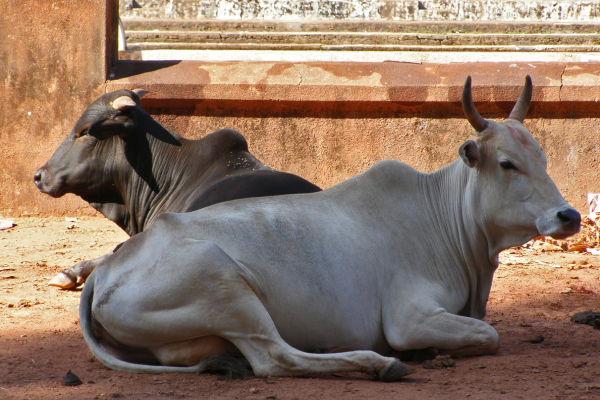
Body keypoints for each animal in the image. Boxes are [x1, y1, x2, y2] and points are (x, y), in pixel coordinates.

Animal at [79, 76, 580, 381]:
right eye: (507, 163)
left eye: (542, 158)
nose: (569, 216)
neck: (446, 219)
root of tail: (107, 270)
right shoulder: (410, 317)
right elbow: (488, 335)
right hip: (223, 284)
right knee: (274, 358)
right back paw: (378, 363)